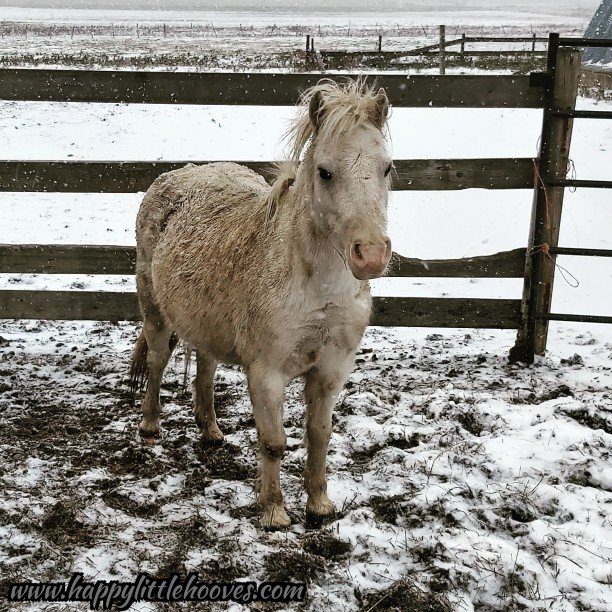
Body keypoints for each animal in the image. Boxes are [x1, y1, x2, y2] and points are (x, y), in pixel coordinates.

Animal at [131, 79, 394, 528]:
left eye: (387, 168)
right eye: (325, 172)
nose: (371, 256)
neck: (315, 286)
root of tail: (177, 174)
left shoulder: (331, 370)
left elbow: (319, 437)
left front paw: (319, 506)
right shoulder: (267, 373)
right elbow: (274, 442)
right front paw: (273, 511)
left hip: (206, 324)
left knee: (205, 367)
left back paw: (210, 430)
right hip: (155, 314)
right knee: (157, 361)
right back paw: (150, 426)